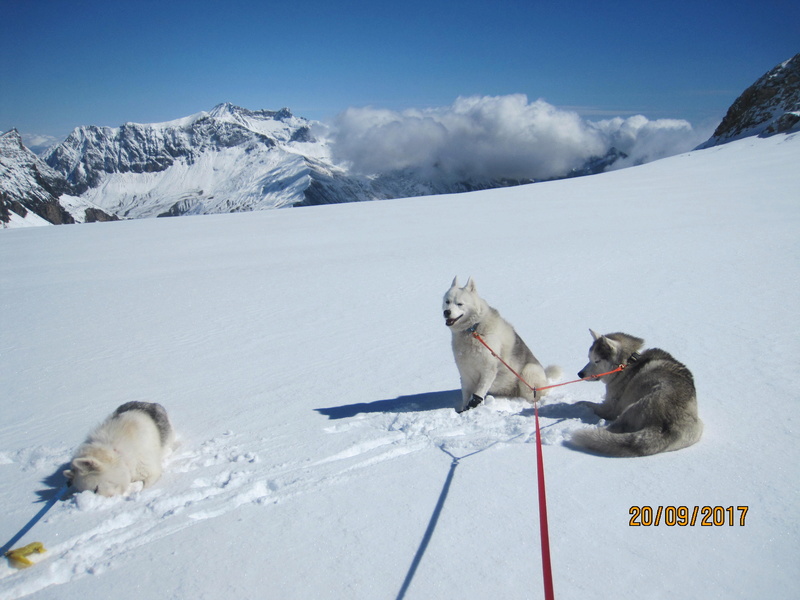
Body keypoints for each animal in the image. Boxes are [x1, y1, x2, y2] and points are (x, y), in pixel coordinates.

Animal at [440, 278, 560, 412]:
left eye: (459, 304)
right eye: (447, 301)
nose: (447, 312)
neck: (473, 330)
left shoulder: (489, 368)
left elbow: (479, 391)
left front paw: (473, 404)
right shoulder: (465, 372)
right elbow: (466, 394)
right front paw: (464, 408)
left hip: (528, 373)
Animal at [572, 330, 704, 458]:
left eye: (597, 360)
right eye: (589, 358)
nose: (580, 374)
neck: (627, 363)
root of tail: (667, 427)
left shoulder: (610, 408)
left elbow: (585, 403)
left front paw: (575, 405)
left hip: (631, 408)